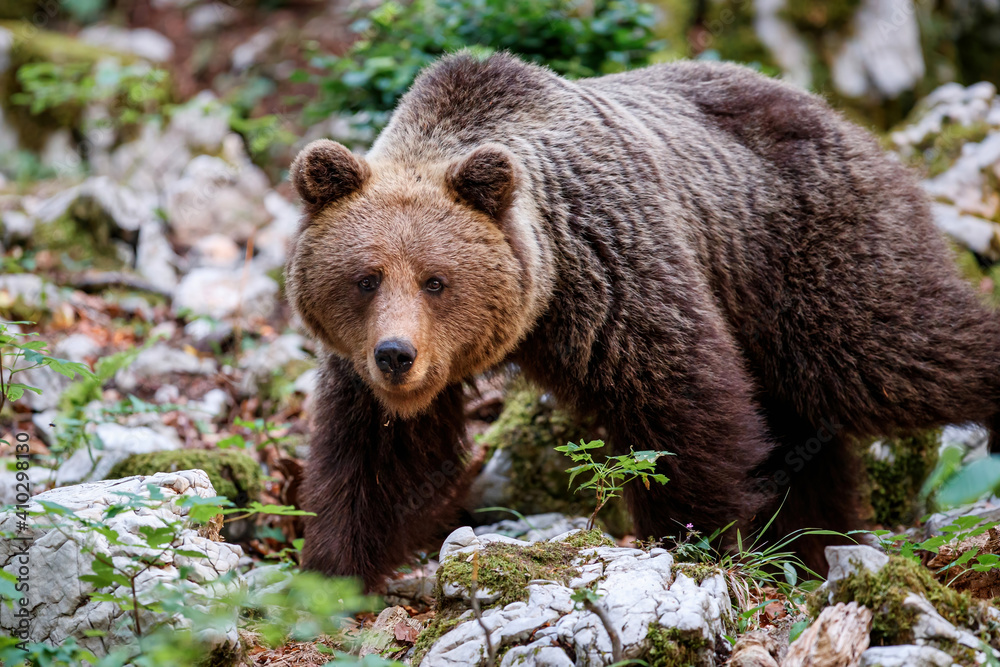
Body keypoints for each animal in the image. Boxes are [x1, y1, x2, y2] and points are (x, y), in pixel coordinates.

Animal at [285, 52, 1000, 588]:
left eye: (436, 280)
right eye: (366, 278)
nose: (396, 355)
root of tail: (834, 113)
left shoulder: (613, 268)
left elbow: (678, 408)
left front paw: (699, 539)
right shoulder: (369, 370)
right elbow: (377, 457)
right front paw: (332, 571)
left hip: (809, 254)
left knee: (896, 348)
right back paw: (815, 542)